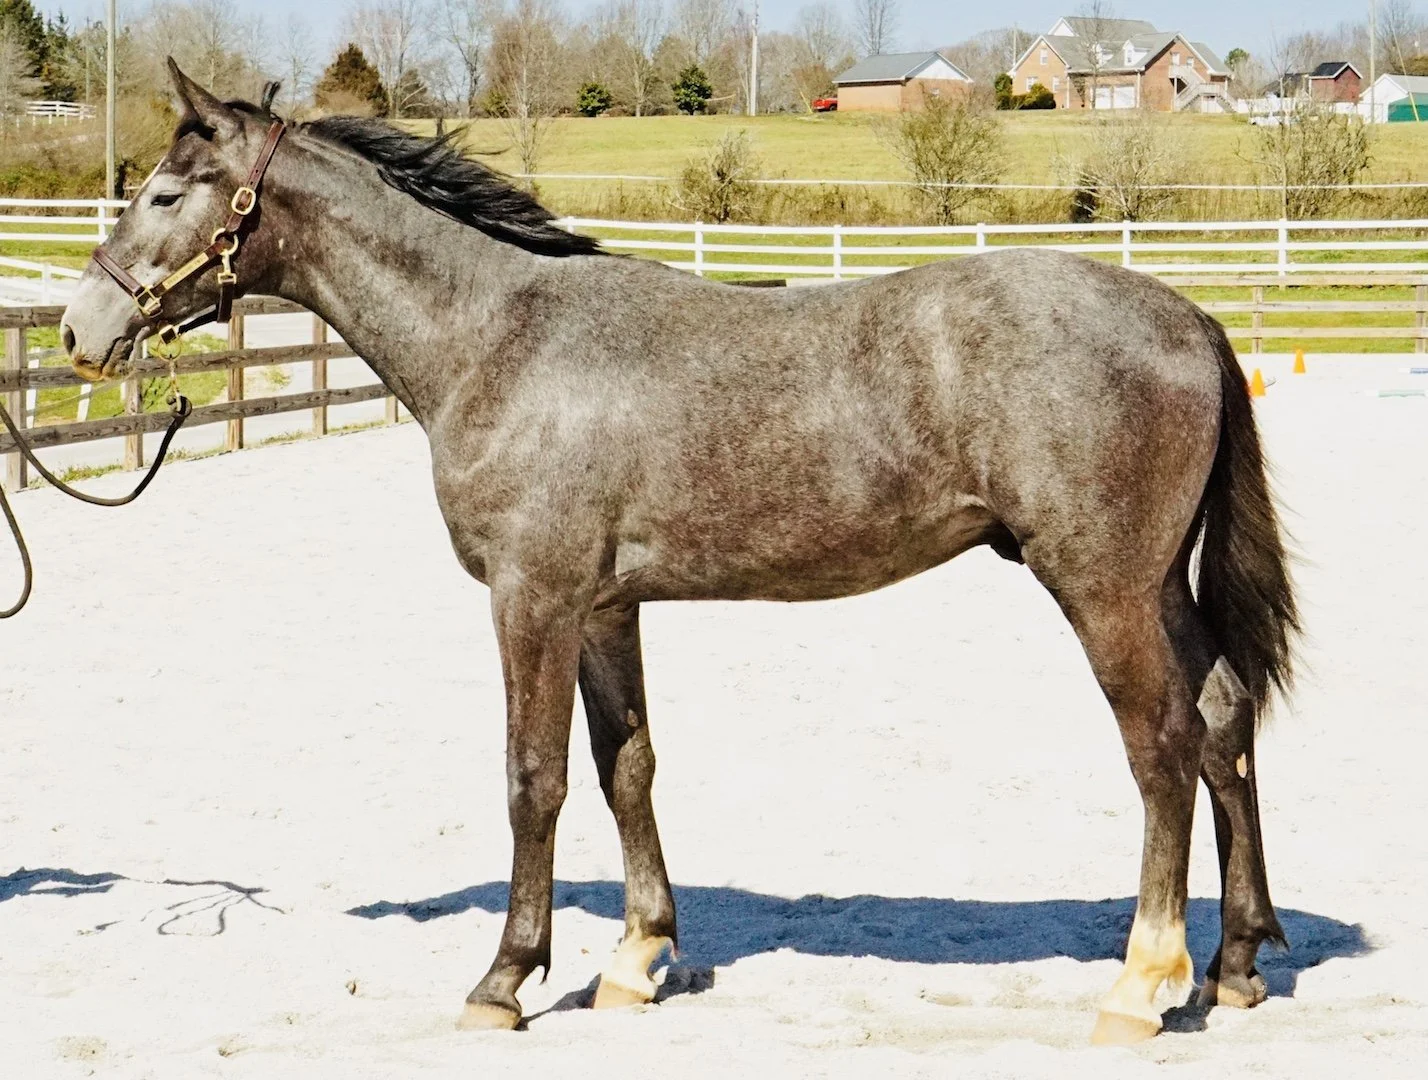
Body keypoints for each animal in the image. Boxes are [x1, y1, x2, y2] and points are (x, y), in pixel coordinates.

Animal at [58, 62, 1299, 1045]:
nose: (80, 330)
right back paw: (1234, 966)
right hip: (1158, 587)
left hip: (1103, 588)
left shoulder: (532, 599)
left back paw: (1142, 984)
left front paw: (505, 980)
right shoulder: (606, 607)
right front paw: (635, 960)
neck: (499, 337)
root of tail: (1190, 318)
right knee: (1225, 719)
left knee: (1160, 747)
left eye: (163, 193)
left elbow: (535, 779)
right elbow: (628, 767)